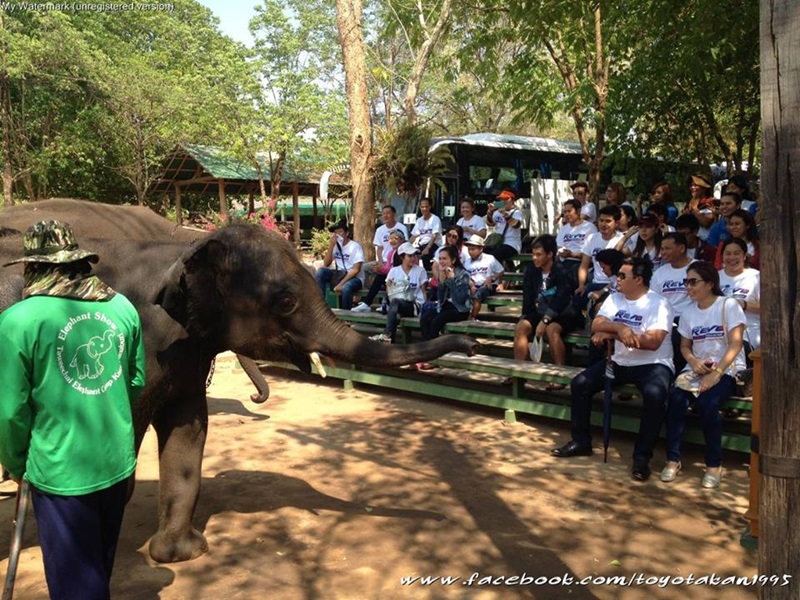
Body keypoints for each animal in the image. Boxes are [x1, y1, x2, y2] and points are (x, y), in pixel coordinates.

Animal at [0, 200, 476, 564]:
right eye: (285, 302)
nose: (471, 345)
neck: (181, 246)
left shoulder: (183, 353)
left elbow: (189, 433)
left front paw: (180, 554)